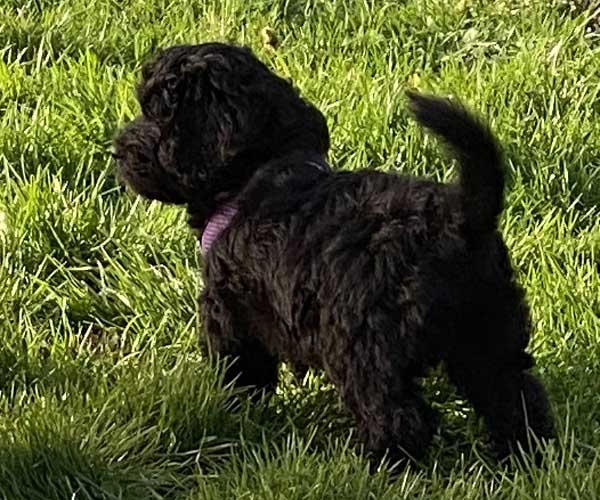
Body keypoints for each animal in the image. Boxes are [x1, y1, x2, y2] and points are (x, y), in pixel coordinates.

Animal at [113, 42, 555, 464]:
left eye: (157, 115)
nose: (116, 150)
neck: (259, 173)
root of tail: (461, 219)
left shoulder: (227, 306)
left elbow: (238, 364)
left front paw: (232, 407)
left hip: (367, 346)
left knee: (399, 415)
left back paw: (378, 464)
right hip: (488, 324)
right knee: (513, 393)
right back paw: (524, 456)